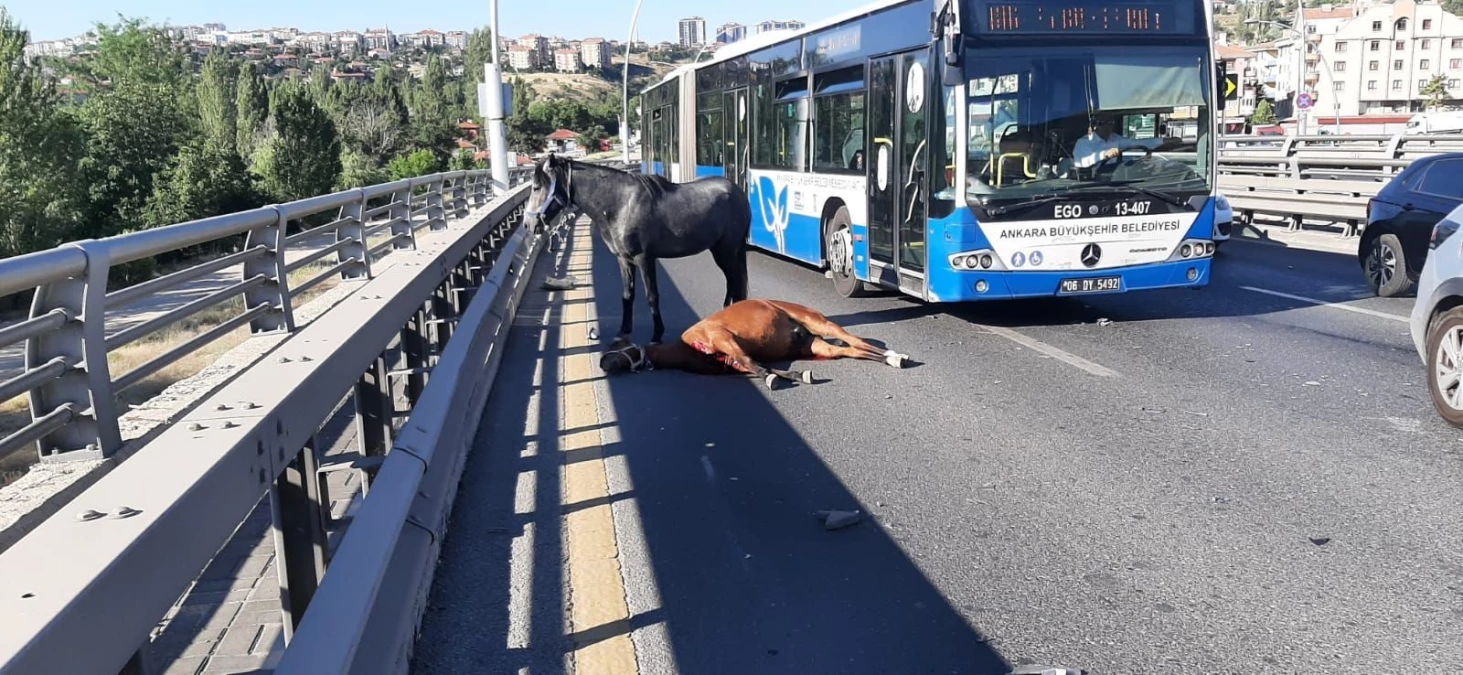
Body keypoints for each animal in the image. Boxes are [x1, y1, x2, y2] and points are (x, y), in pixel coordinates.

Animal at [523, 152, 749, 342]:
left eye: (536, 187)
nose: (528, 224)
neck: (621, 204)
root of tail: (738, 191)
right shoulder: (624, 259)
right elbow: (627, 295)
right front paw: (623, 330)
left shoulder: (645, 258)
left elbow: (652, 296)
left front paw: (657, 334)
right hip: (721, 251)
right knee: (732, 282)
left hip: (727, 252)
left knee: (736, 283)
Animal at [593, 297, 901, 386]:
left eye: (616, 346)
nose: (604, 364)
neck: (690, 346)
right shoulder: (728, 362)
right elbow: (757, 366)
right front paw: (795, 374)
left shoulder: (723, 338)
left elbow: (753, 363)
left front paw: (774, 378)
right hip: (815, 343)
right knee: (852, 350)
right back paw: (889, 358)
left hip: (817, 321)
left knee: (856, 341)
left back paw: (896, 356)